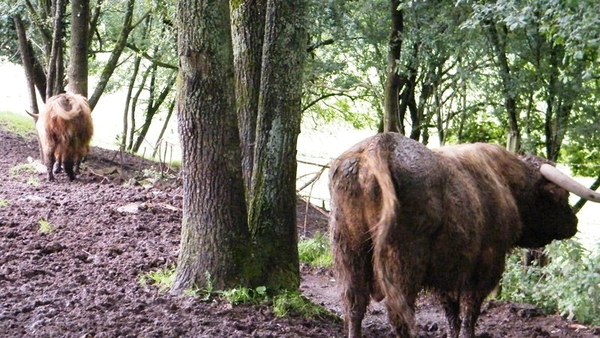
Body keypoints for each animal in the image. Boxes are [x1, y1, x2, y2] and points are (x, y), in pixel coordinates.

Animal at [328, 132, 600, 338]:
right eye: (560, 196)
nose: (573, 223)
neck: (507, 184)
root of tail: (378, 144)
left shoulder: (447, 270)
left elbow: (452, 313)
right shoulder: (485, 264)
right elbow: (470, 311)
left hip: (348, 250)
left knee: (354, 306)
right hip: (401, 259)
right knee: (399, 314)